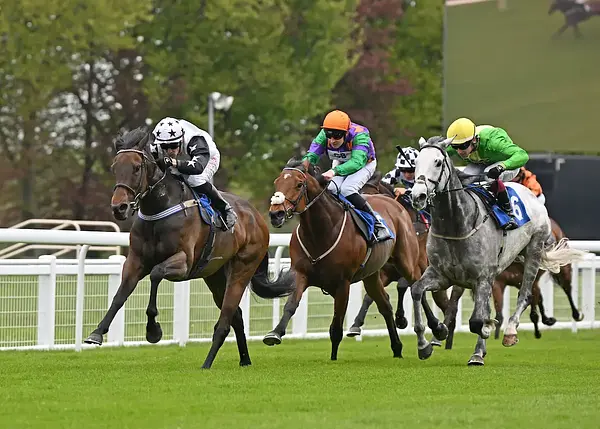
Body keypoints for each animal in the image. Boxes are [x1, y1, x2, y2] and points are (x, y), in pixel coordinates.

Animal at [84, 127, 295, 369]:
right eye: (114, 167)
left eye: (137, 168)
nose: (119, 208)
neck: (160, 208)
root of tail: (258, 219)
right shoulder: (136, 260)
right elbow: (120, 295)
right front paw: (96, 333)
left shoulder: (183, 262)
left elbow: (156, 274)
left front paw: (153, 330)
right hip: (215, 276)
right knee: (236, 316)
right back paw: (244, 360)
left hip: (242, 269)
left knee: (226, 318)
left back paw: (207, 363)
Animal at [265, 159, 447, 361]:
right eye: (277, 182)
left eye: (299, 184)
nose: (276, 214)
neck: (321, 232)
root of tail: (396, 206)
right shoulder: (301, 274)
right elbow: (291, 305)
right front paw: (275, 333)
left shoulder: (342, 283)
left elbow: (336, 326)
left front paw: (334, 358)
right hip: (372, 274)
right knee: (384, 304)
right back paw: (397, 347)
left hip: (406, 262)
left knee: (417, 288)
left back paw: (437, 331)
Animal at [409, 135, 587, 365]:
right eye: (416, 163)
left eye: (438, 162)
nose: (418, 196)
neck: (457, 225)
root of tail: (531, 196)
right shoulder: (442, 275)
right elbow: (416, 290)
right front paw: (428, 341)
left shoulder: (482, 277)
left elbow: (478, 321)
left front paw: (483, 336)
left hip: (533, 251)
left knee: (525, 294)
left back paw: (508, 333)